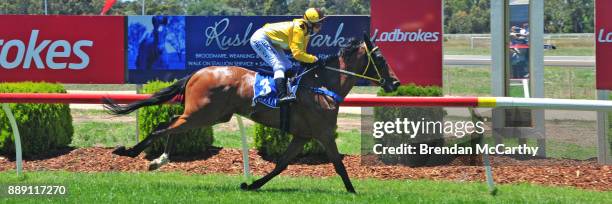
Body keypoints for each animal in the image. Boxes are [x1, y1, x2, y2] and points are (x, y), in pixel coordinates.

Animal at [104, 33, 402, 193]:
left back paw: (159, 160)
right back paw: (131, 152)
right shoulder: (323, 133)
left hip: (208, 115)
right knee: (163, 126)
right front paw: (353, 191)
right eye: (380, 59)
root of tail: (197, 72)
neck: (322, 84)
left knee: (171, 124)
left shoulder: (303, 136)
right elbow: (339, 165)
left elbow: (281, 164)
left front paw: (252, 185)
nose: (396, 83)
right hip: (203, 114)